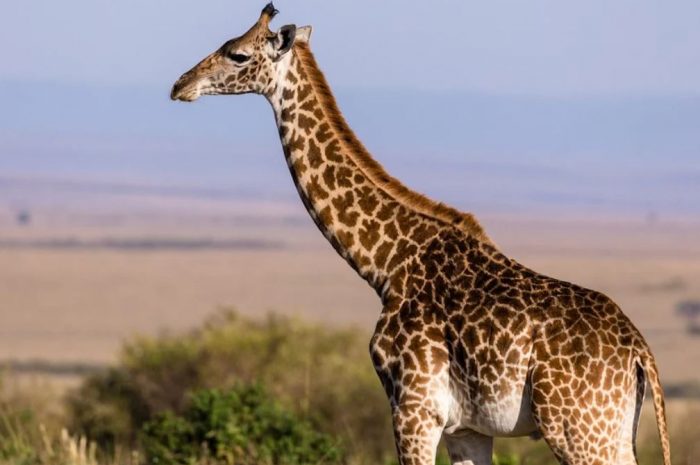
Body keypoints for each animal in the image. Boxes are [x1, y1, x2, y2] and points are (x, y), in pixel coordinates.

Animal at [170, 4, 671, 465]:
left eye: (237, 54)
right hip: (612, 430)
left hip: (579, 429)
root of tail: (639, 351)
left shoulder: (414, 409)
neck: (385, 264)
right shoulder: (466, 428)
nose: (180, 85)